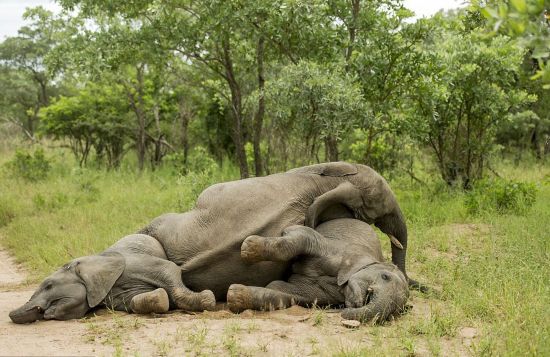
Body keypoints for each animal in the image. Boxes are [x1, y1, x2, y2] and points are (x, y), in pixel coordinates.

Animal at [9, 234, 216, 322]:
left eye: (49, 286)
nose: (10, 316)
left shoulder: (133, 263)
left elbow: (170, 269)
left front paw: (208, 298)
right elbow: (133, 301)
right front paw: (158, 298)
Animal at [226, 218, 412, 322]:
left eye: (395, 312)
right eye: (385, 276)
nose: (343, 311)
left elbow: (285, 294)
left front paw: (235, 296)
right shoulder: (335, 247)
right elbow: (302, 235)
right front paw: (248, 247)